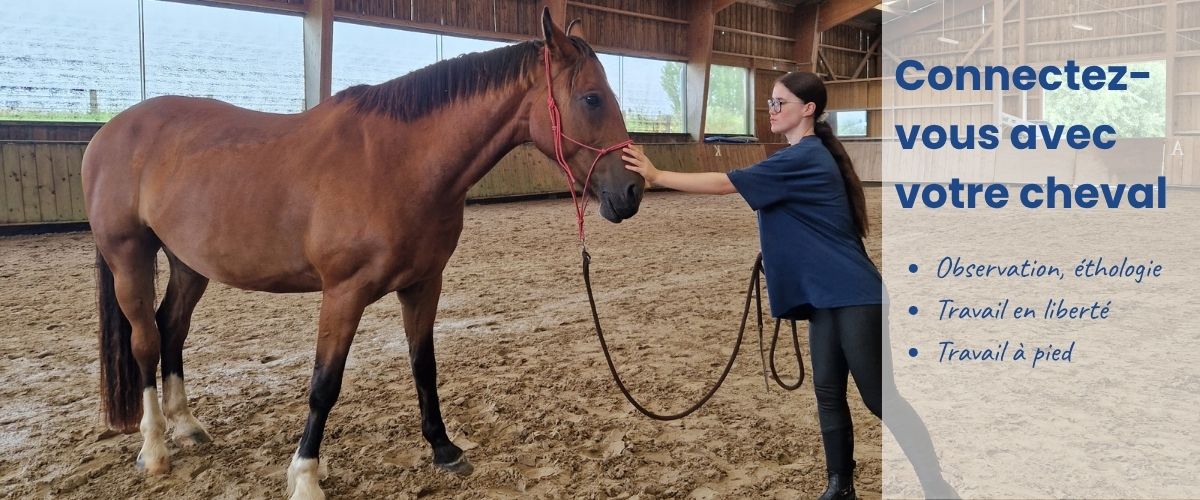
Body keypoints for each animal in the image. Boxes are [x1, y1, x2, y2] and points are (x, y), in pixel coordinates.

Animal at [82, 8, 642, 499]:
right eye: (592, 98)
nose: (632, 191)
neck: (396, 163)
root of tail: (110, 132)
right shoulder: (343, 294)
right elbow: (324, 384)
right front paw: (305, 476)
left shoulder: (423, 284)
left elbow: (423, 365)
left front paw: (444, 449)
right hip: (129, 257)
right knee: (146, 342)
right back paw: (155, 449)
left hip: (189, 264)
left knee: (172, 329)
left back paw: (188, 427)